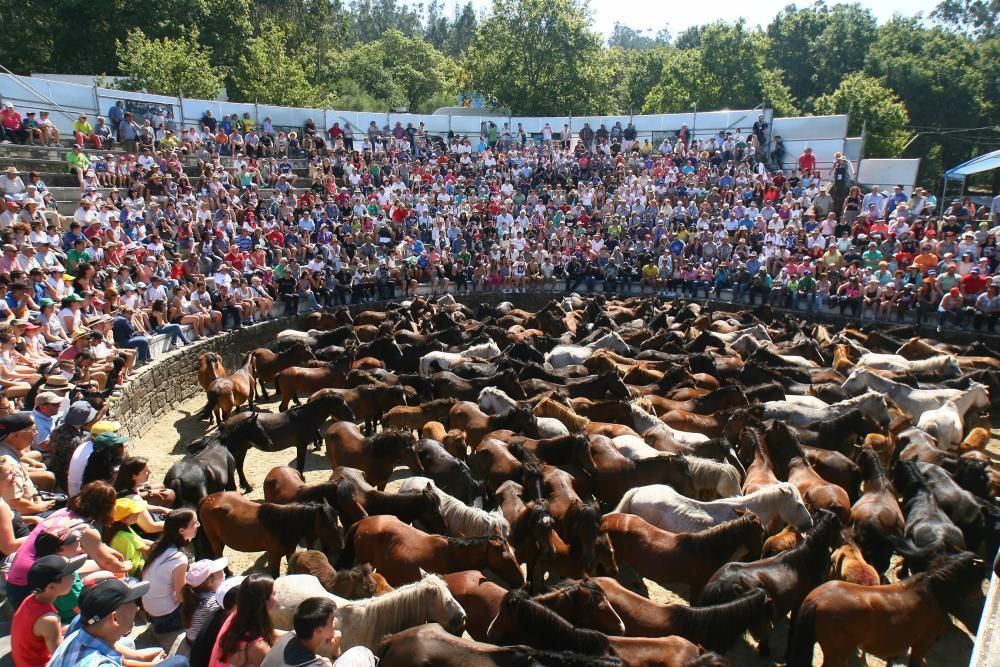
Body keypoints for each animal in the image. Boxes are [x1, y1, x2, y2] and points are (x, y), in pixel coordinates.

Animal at [788, 552, 984, 667]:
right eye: (979, 578)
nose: (977, 598)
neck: (933, 591)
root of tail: (816, 600)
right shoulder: (922, 643)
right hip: (837, 655)